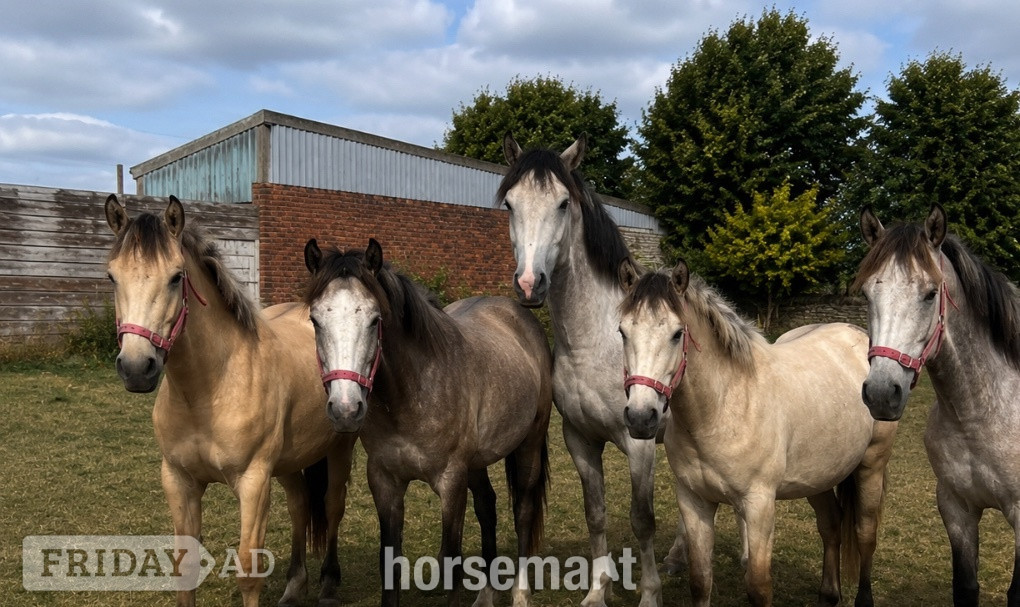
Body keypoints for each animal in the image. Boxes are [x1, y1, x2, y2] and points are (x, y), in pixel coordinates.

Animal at [104, 195, 357, 607]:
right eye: (112, 277)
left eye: (176, 276)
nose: (137, 368)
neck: (209, 392)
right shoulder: (179, 481)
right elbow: (185, 565)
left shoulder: (253, 483)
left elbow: (249, 570)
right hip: (288, 463)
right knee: (300, 506)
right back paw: (294, 587)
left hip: (341, 445)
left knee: (333, 505)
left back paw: (329, 584)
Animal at [302, 238, 553, 607]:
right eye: (315, 320)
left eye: (375, 320)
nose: (345, 409)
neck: (411, 393)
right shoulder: (385, 482)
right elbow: (389, 562)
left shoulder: (450, 482)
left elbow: (451, 562)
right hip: (476, 463)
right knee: (487, 507)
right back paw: (487, 594)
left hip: (529, 444)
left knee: (522, 510)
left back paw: (520, 594)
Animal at [498, 133, 685, 607]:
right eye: (509, 203)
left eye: (564, 203)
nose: (529, 284)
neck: (595, 342)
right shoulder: (579, 439)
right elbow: (595, 513)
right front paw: (599, 589)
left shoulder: (638, 443)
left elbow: (641, 519)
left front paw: (649, 595)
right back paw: (678, 557)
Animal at [616, 258, 899, 607]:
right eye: (622, 332)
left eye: (677, 333)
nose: (641, 417)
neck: (723, 408)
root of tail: (856, 334)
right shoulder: (694, 501)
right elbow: (700, 582)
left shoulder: (759, 505)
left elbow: (759, 587)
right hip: (818, 476)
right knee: (831, 526)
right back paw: (828, 595)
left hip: (871, 466)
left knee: (865, 533)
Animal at [856, 204, 1020, 606]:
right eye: (866, 295)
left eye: (931, 294)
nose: (881, 393)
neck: (977, 415)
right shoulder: (956, 507)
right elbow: (965, 587)